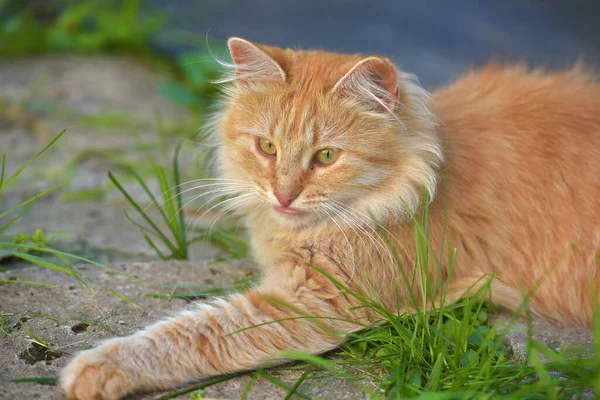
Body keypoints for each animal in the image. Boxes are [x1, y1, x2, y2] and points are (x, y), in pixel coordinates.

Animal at [59, 36, 600, 396]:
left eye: (325, 157)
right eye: (267, 147)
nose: (283, 195)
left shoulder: (311, 300)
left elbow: (190, 334)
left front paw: (96, 369)